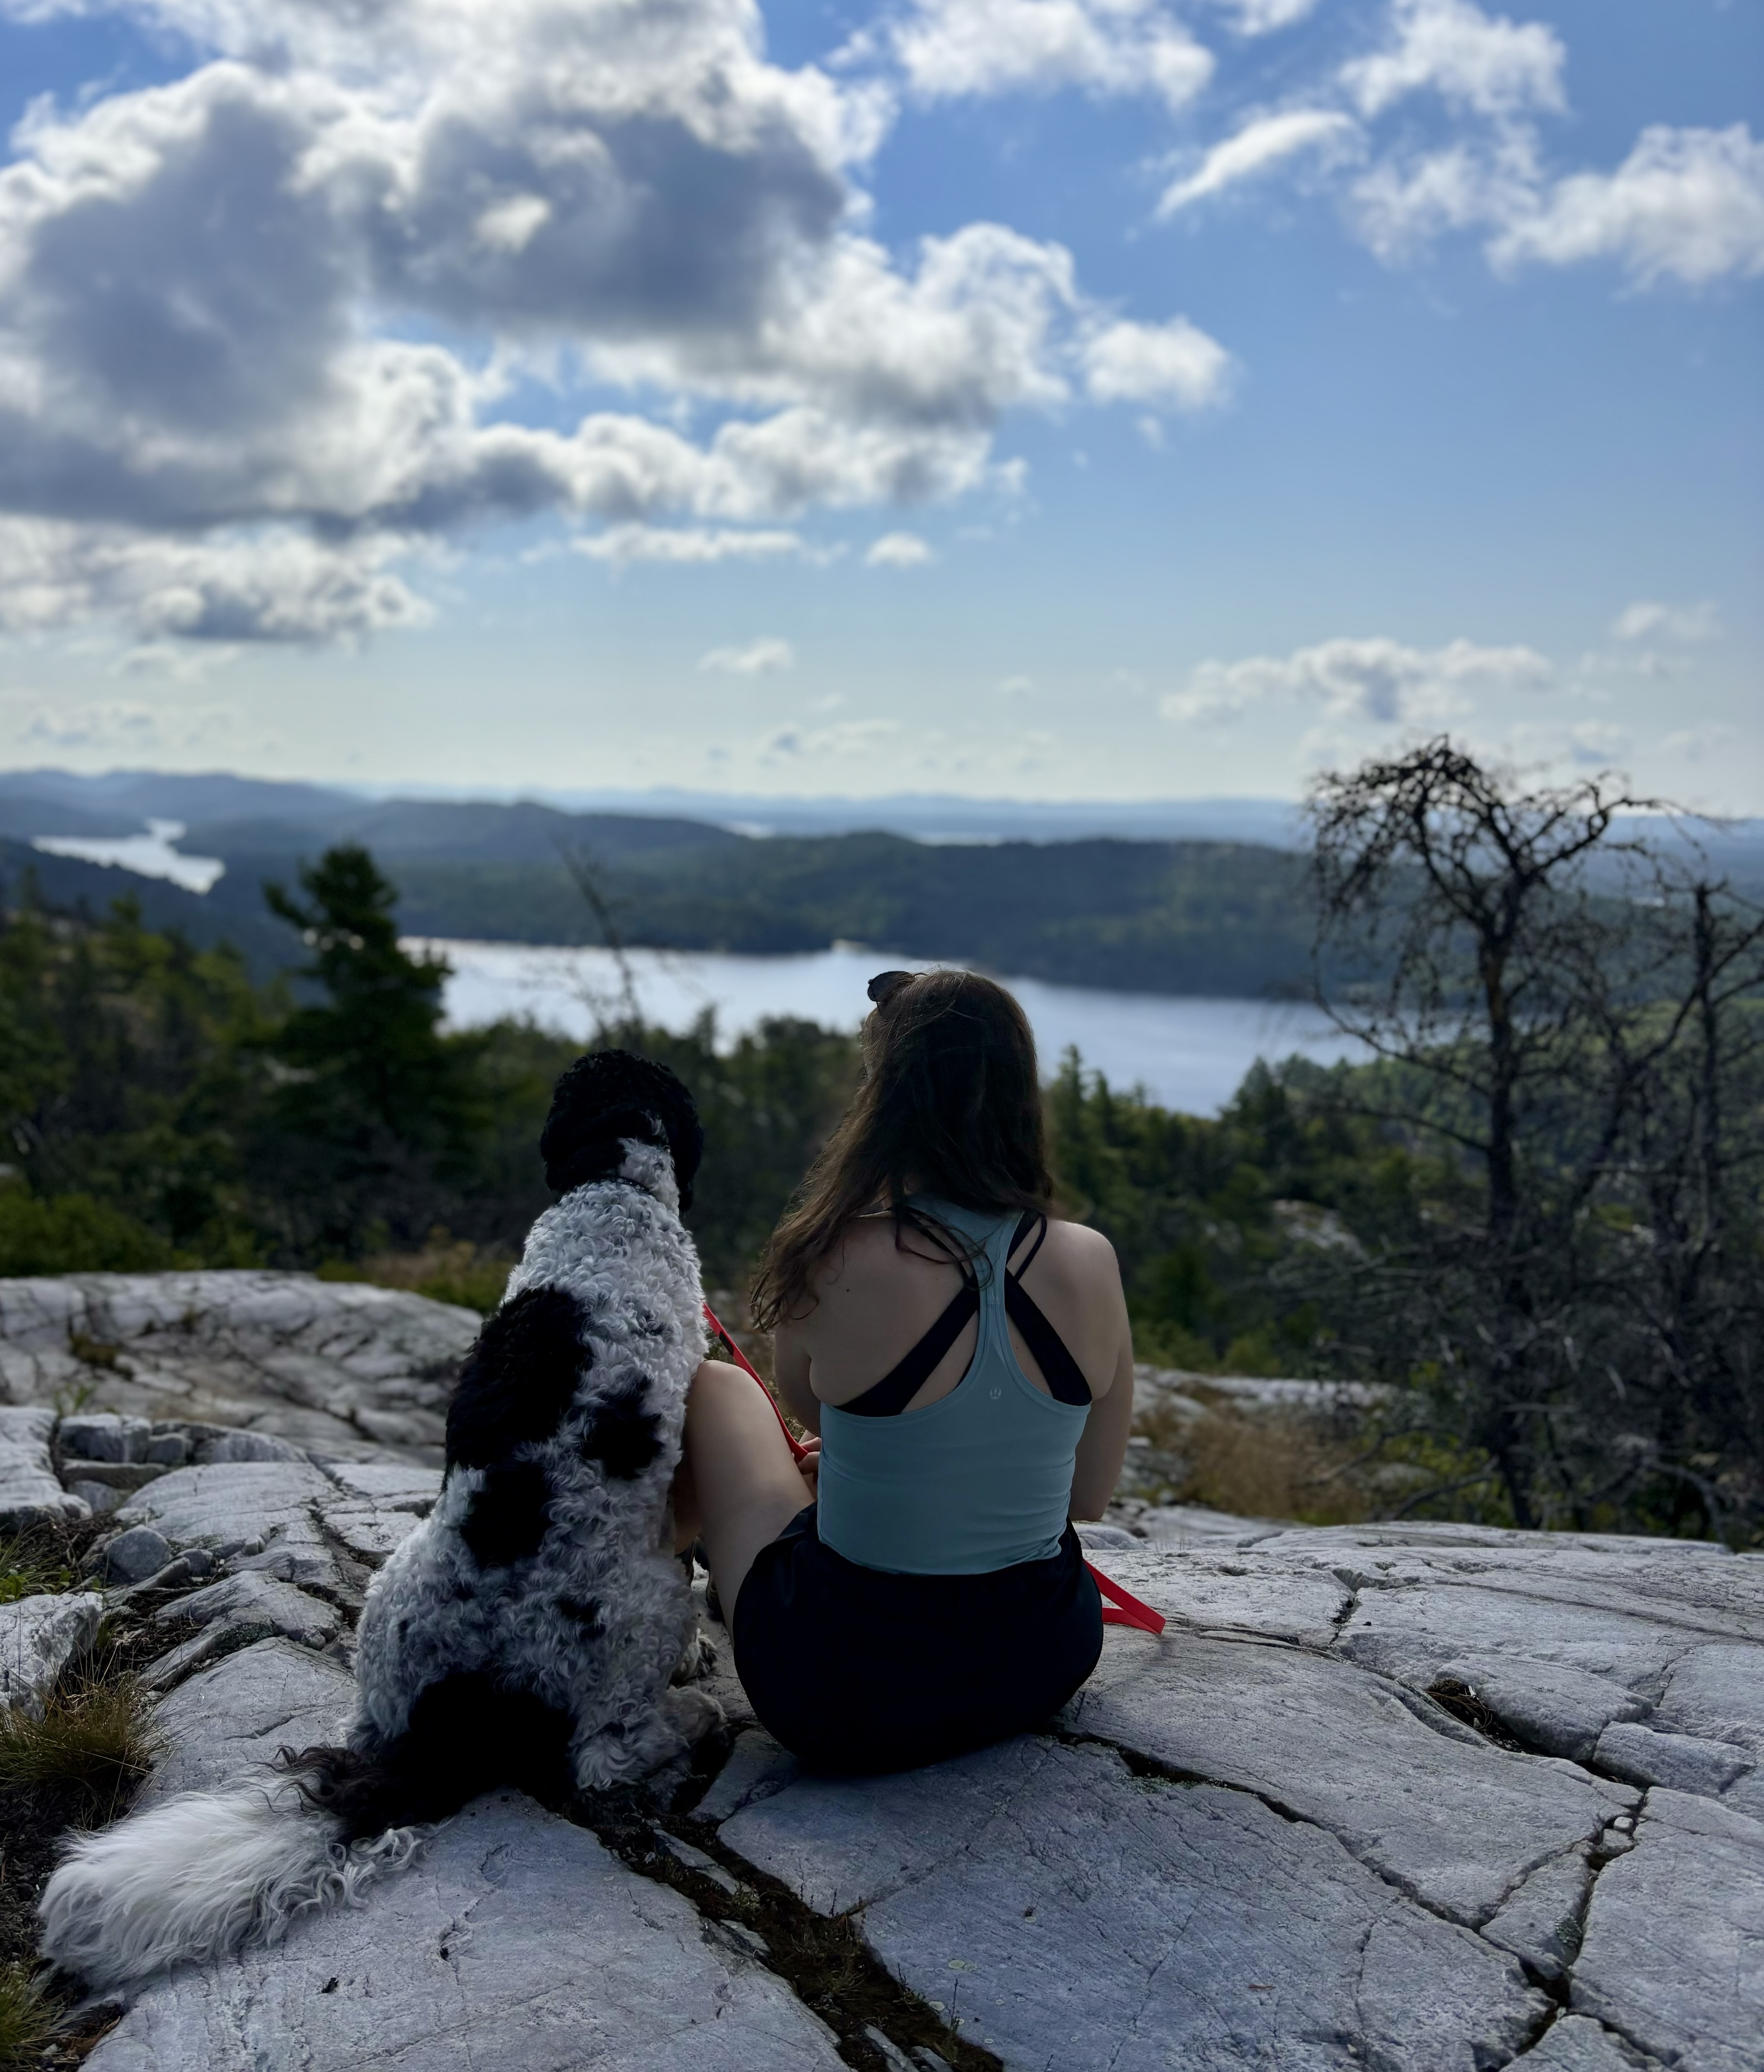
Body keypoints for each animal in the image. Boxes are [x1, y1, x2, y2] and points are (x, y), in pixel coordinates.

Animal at [41, 1052, 721, 1989]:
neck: (615, 1188)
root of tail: (466, 1700)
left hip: (389, 1606)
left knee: (362, 1722)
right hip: (646, 1616)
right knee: (604, 1758)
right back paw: (689, 1724)